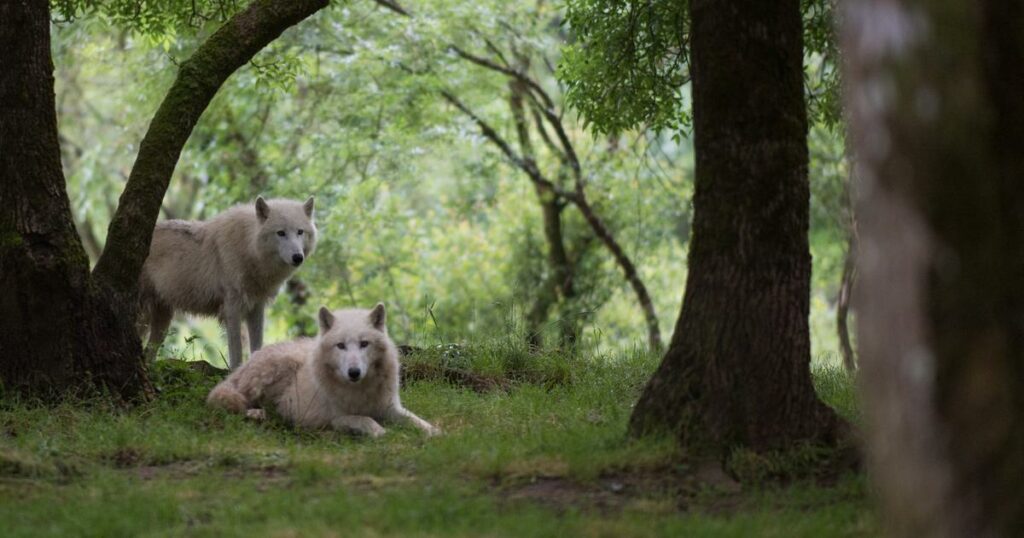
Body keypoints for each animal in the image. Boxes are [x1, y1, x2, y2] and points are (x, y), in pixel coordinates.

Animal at [138, 194, 315, 366]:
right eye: (281, 233)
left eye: (300, 232)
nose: (298, 257)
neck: (248, 249)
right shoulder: (232, 308)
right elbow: (236, 352)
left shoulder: (257, 307)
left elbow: (257, 344)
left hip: (162, 320)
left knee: (149, 353)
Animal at [205, 301, 438, 436]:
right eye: (341, 346)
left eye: (364, 344)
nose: (354, 373)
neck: (359, 391)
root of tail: (241, 367)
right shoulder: (335, 418)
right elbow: (366, 420)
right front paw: (382, 431)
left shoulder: (391, 408)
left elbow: (417, 421)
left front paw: (435, 433)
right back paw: (258, 414)